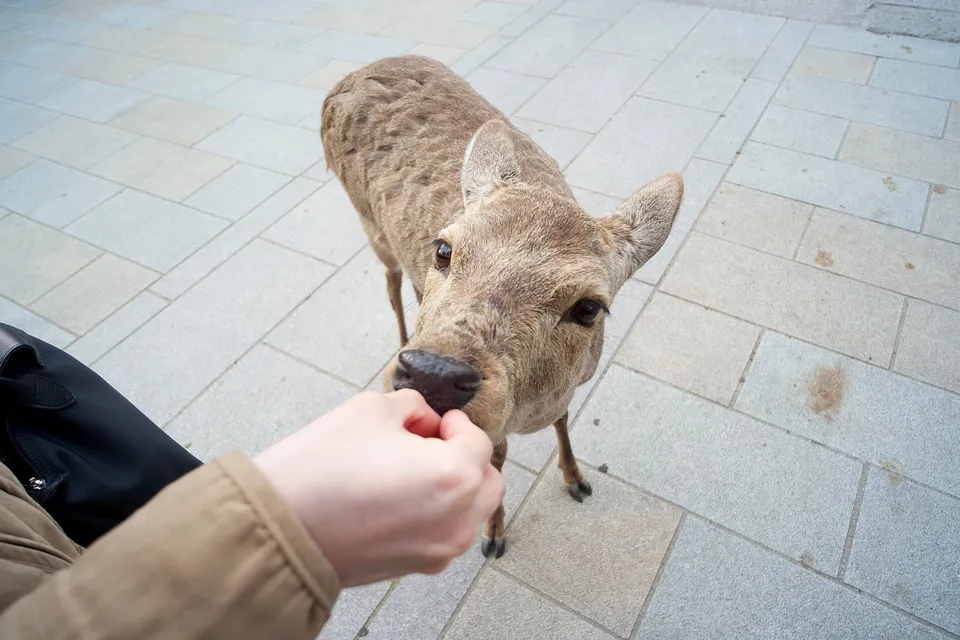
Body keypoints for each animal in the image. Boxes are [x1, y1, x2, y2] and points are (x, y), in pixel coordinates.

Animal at [320, 55, 682, 559]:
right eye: (444, 249)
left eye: (589, 308)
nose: (433, 373)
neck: (527, 410)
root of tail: (346, 79)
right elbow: (496, 459)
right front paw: (493, 534)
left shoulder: (570, 388)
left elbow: (564, 420)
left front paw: (576, 478)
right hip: (369, 223)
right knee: (390, 281)